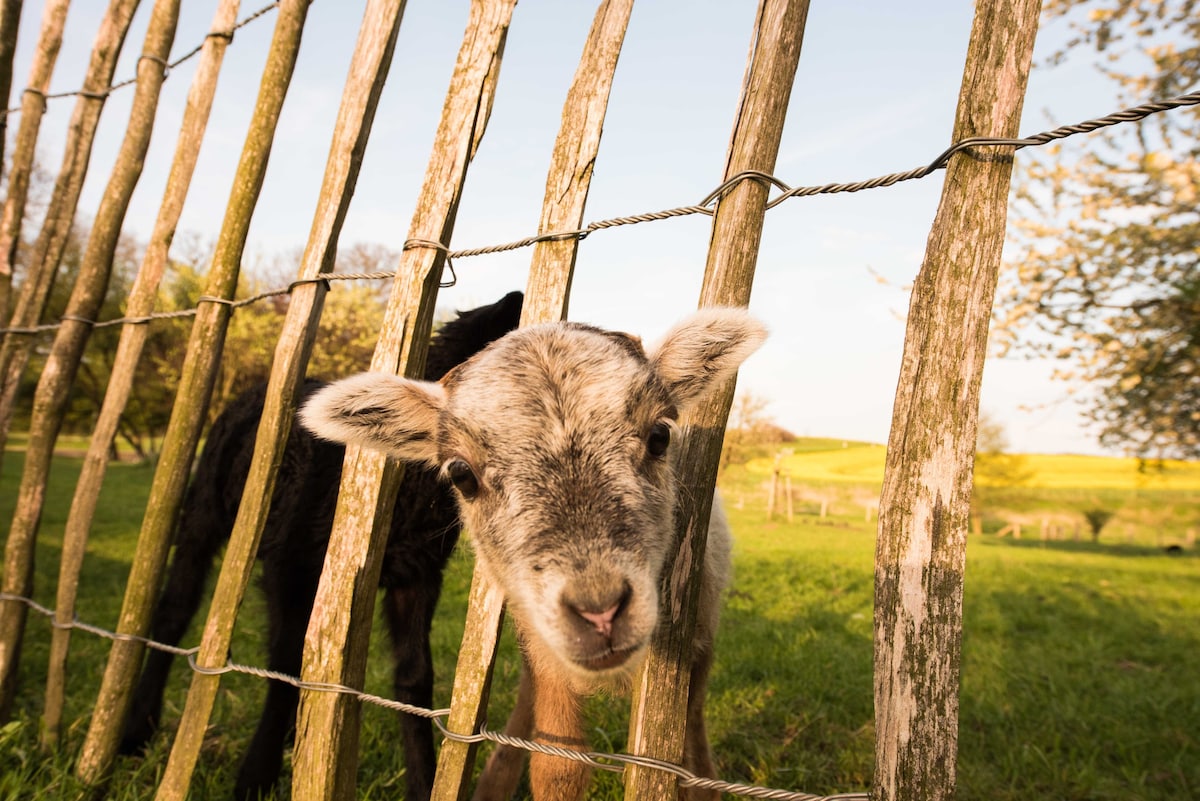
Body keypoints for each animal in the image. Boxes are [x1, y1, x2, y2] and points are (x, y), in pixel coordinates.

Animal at [120, 291, 525, 801]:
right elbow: (285, 663)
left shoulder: (417, 575)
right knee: (175, 610)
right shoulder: (289, 564)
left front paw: (422, 780)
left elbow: (414, 678)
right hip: (203, 512)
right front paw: (255, 776)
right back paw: (138, 729)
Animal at [302, 306, 768, 801]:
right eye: (461, 474)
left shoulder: (695, 643)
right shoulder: (545, 650)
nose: (600, 611)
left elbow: (687, 751)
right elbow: (557, 765)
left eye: (660, 435)